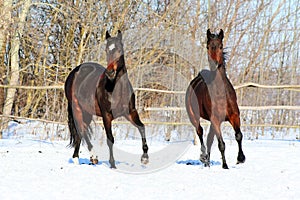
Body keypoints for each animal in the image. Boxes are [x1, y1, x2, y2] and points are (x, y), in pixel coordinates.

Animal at [65, 30, 150, 168]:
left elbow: (142, 127)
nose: (110, 72)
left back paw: (85, 158)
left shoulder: (130, 113)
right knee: (82, 131)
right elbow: (110, 139)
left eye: (119, 49)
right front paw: (113, 165)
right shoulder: (107, 116)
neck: (117, 89)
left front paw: (145, 158)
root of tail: (74, 72)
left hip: (87, 112)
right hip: (77, 108)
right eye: (106, 50)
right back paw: (86, 158)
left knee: (82, 131)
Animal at [185, 28, 246, 168]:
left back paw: (207, 162)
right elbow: (221, 144)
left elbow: (238, 135)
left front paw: (240, 158)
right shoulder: (215, 120)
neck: (221, 94)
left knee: (209, 139)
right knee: (200, 132)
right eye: (208, 47)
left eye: (220, 46)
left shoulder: (234, 116)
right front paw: (225, 166)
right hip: (194, 117)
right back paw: (204, 158)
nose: (214, 64)